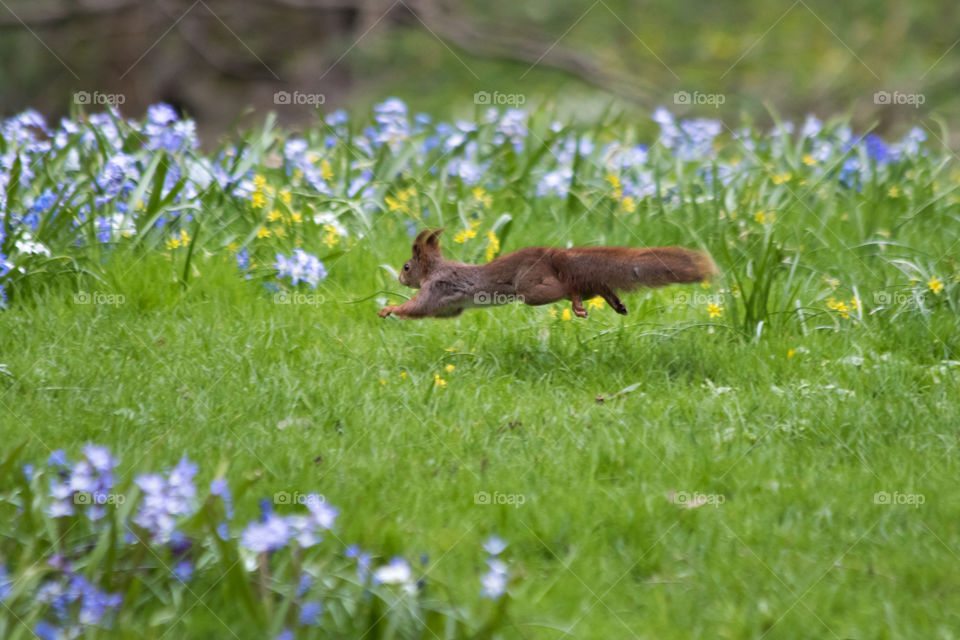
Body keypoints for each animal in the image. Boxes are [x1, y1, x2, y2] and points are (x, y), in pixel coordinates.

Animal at [378, 229, 718, 319]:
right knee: (593, 284)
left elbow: (418, 306)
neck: (435, 268)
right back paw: (614, 302)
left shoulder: (437, 288)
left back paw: (577, 303)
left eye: (407, 267)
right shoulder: (449, 305)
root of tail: (556, 255)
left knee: (569, 287)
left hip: (532, 289)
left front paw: (390, 308)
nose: (400, 278)